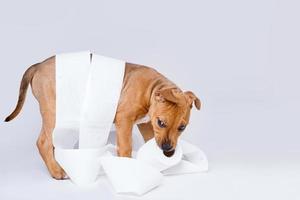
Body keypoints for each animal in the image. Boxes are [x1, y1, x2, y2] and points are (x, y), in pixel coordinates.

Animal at [4, 54, 200, 180]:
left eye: (182, 127)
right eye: (161, 122)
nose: (168, 150)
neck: (152, 89)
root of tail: (38, 65)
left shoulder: (146, 125)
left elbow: (151, 141)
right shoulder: (125, 121)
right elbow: (126, 148)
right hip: (54, 113)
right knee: (43, 142)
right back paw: (56, 171)